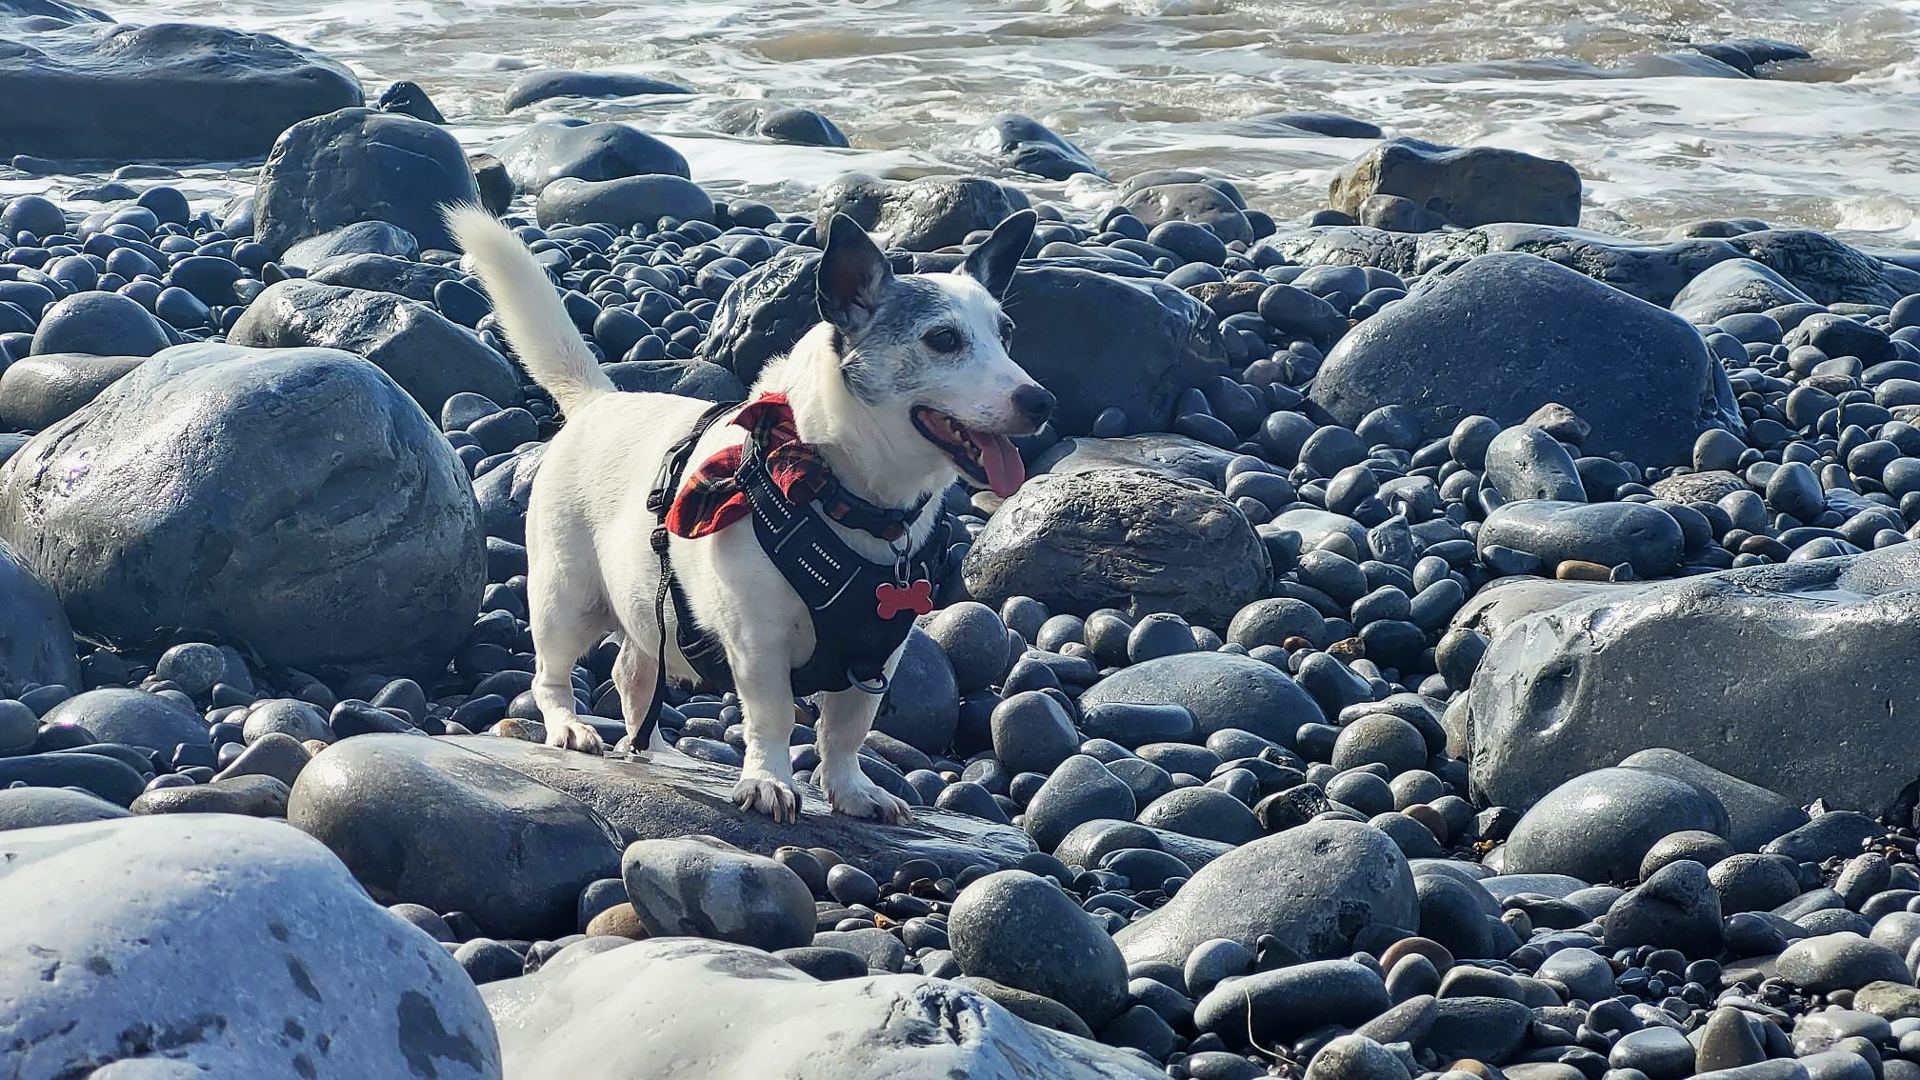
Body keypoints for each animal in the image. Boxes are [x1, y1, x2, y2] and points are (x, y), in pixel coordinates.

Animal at [445, 201, 1052, 818]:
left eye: (1006, 334)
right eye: (943, 339)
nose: (1042, 401)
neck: (844, 493)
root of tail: (598, 401)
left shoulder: (877, 657)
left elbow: (847, 729)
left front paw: (852, 789)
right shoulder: (758, 644)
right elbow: (774, 716)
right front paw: (768, 780)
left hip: (643, 604)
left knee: (633, 673)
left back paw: (656, 751)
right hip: (566, 599)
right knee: (550, 674)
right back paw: (568, 726)